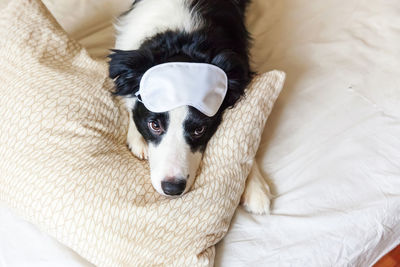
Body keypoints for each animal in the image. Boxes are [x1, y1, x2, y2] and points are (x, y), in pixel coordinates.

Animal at [109, 0, 272, 215]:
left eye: (199, 129)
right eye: (155, 125)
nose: (172, 188)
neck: (183, 40)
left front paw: (256, 188)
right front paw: (137, 138)